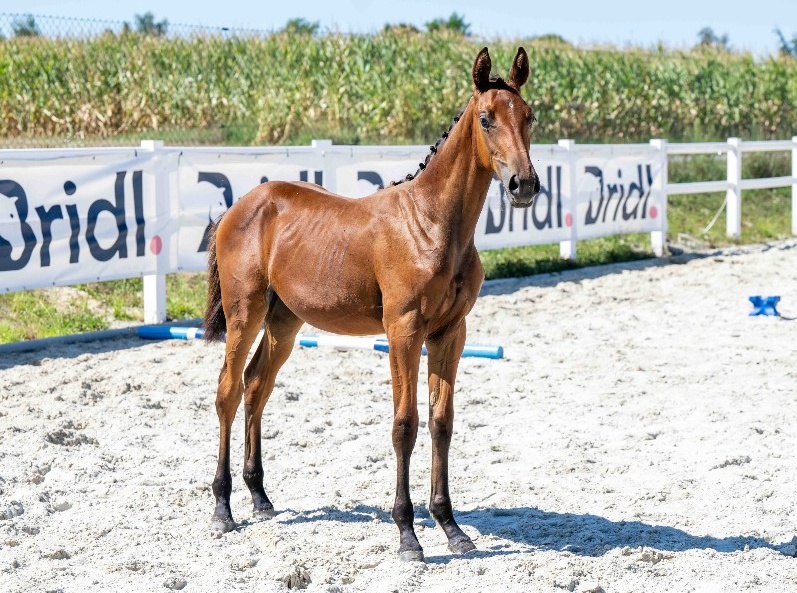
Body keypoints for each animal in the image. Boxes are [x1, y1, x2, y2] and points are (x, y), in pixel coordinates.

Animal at [203, 46, 540, 562]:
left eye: (529, 116)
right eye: (486, 119)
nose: (524, 185)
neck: (432, 224)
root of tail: (237, 206)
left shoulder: (451, 332)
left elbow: (442, 422)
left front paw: (451, 527)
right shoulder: (403, 331)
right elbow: (405, 425)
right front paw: (408, 535)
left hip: (285, 320)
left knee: (256, 385)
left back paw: (259, 497)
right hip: (246, 313)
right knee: (228, 391)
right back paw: (223, 508)